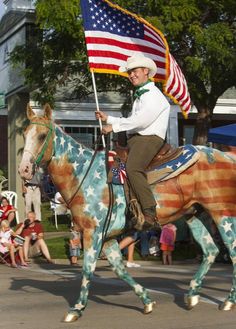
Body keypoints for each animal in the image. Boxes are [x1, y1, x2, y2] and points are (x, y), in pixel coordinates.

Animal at [18, 103, 236, 320]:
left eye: (42, 135)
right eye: (25, 133)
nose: (24, 169)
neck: (83, 174)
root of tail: (227, 156)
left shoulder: (92, 233)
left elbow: (87, 269)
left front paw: (77, 308)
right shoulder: (107, 238)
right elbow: (119, 270)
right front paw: (147, 301)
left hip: (222, 213)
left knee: (232, 250)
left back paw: (228, 301)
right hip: (194, 214)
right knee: (211, 250)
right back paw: (192, 295)